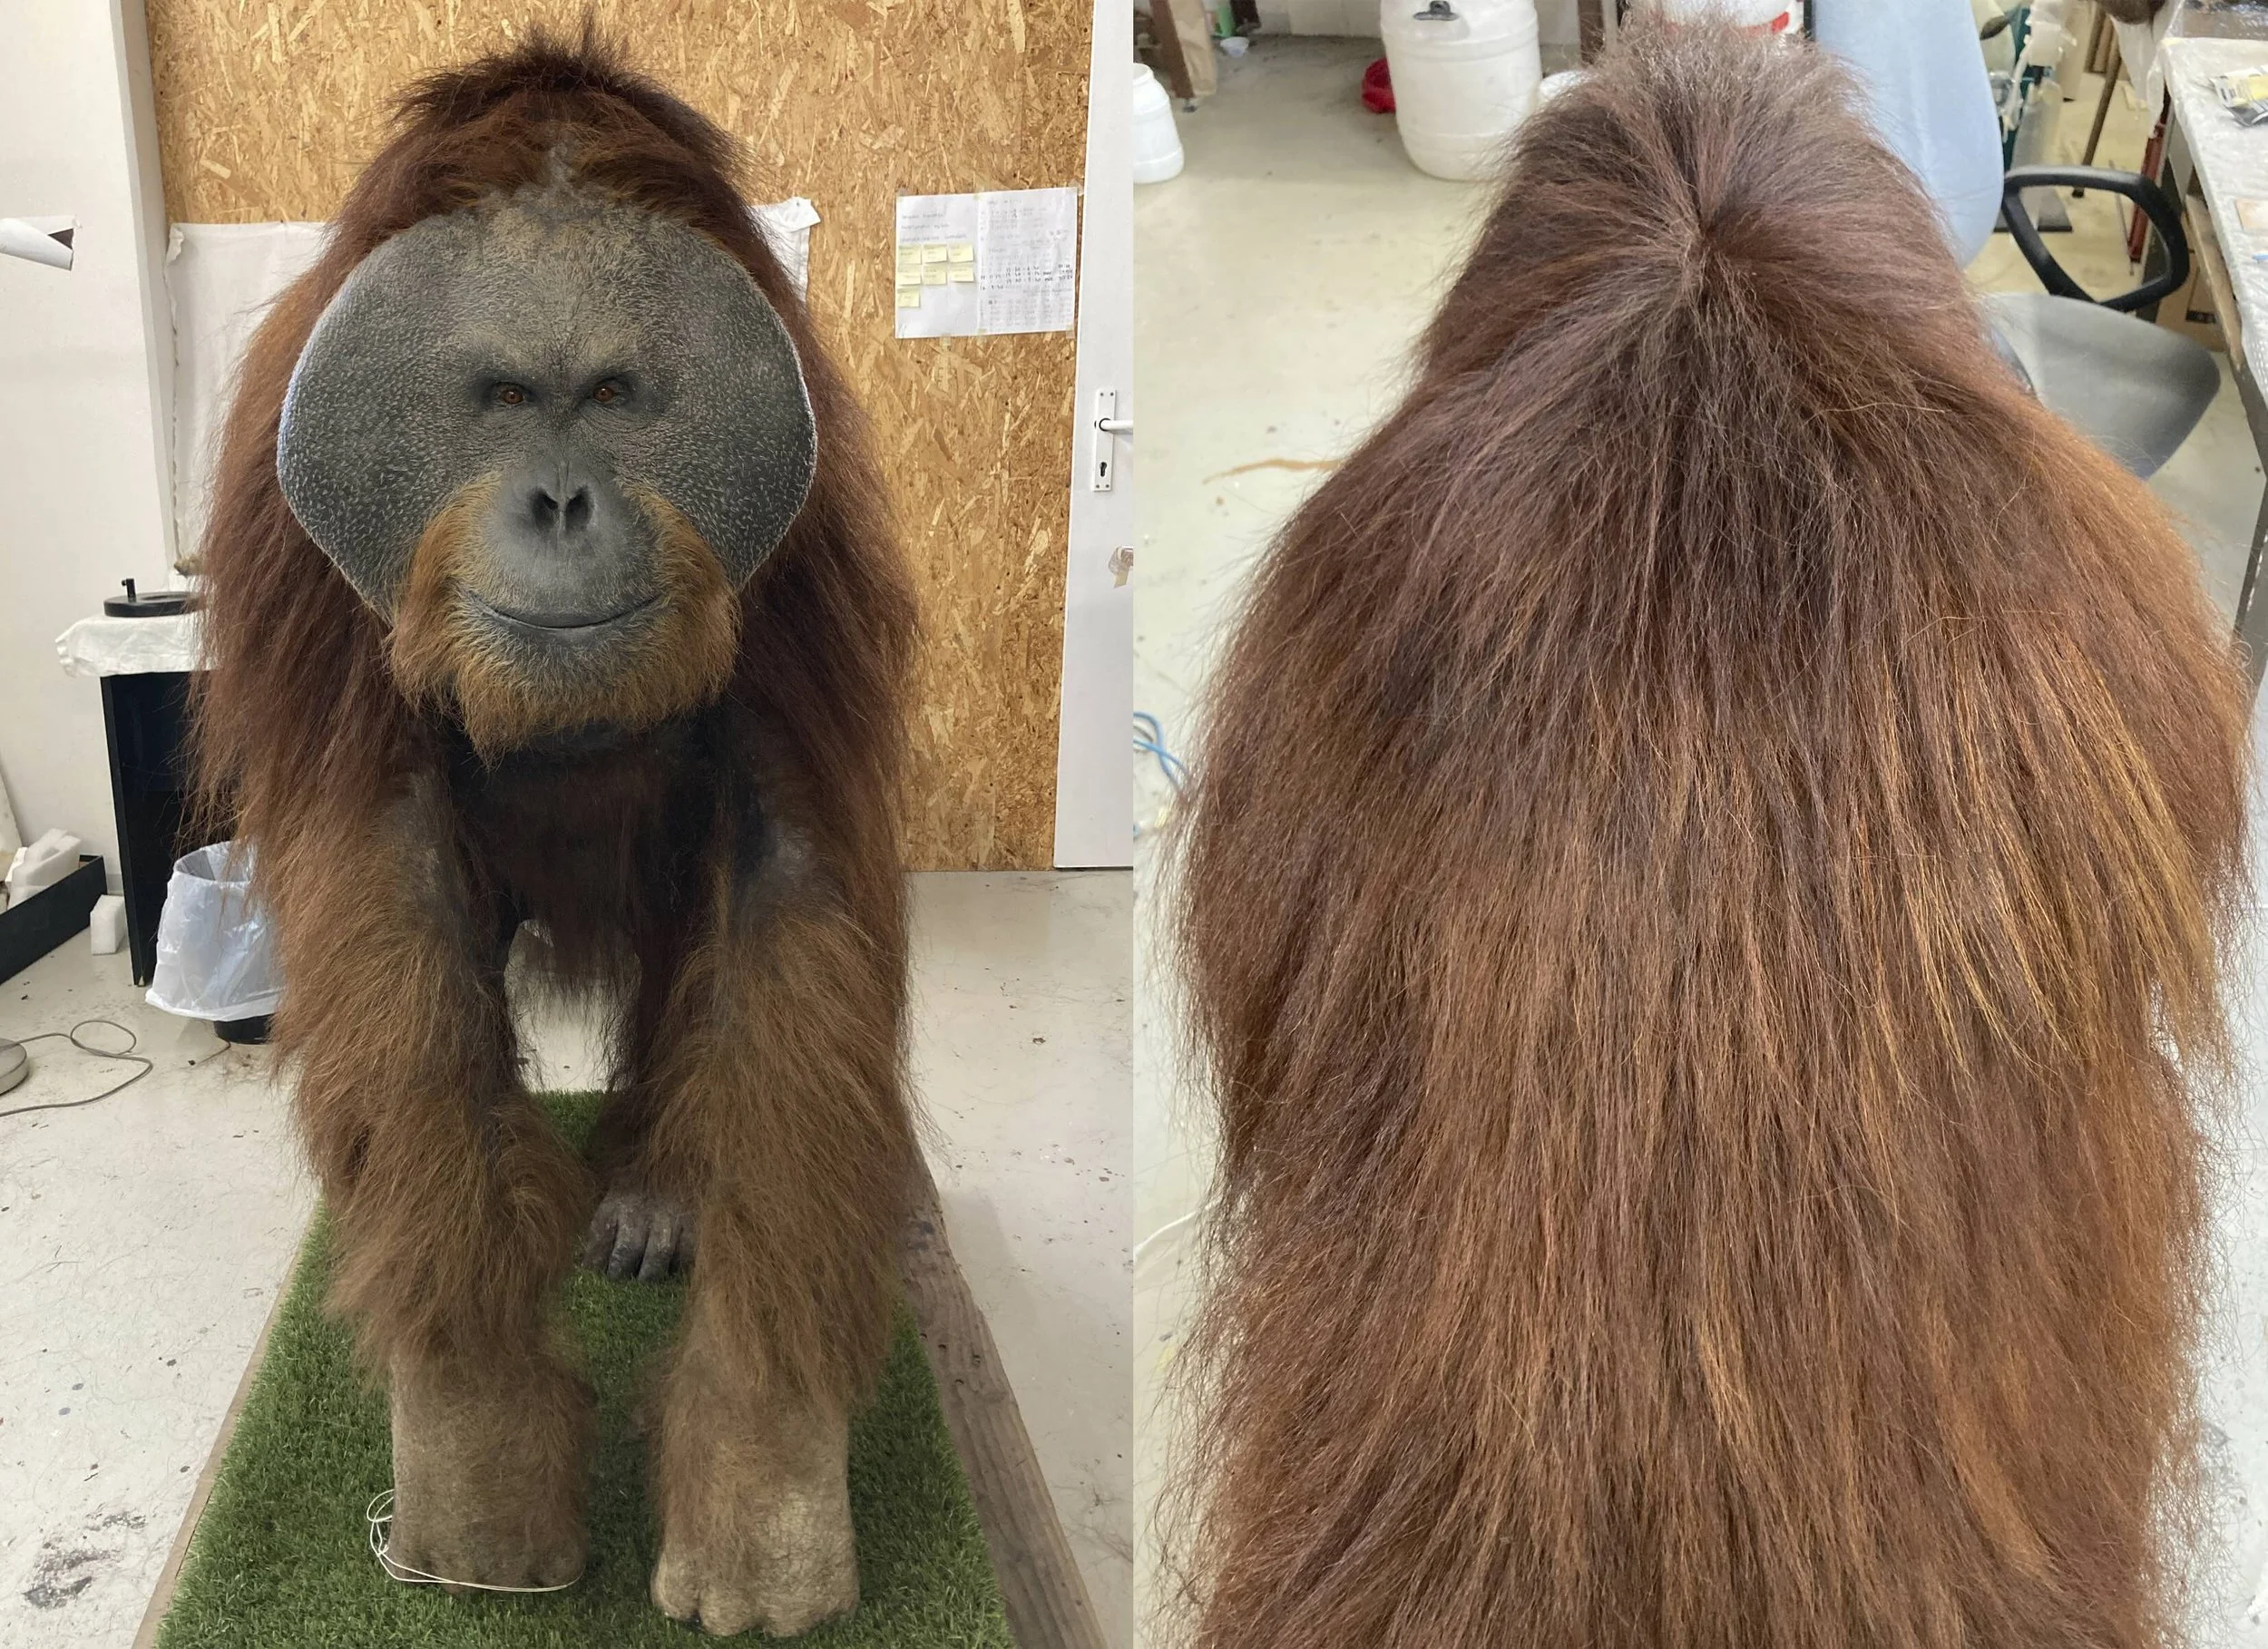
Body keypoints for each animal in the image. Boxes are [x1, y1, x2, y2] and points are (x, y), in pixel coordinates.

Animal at [192, 33, 918, 1638]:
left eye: (618, 392)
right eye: (508, 393)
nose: (566, 499)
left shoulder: (809, 549)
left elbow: (783, 885)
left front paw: (769, 1492)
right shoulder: (300, 566)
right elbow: (394, 897)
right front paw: (471, 1464)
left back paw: (650, 1196)